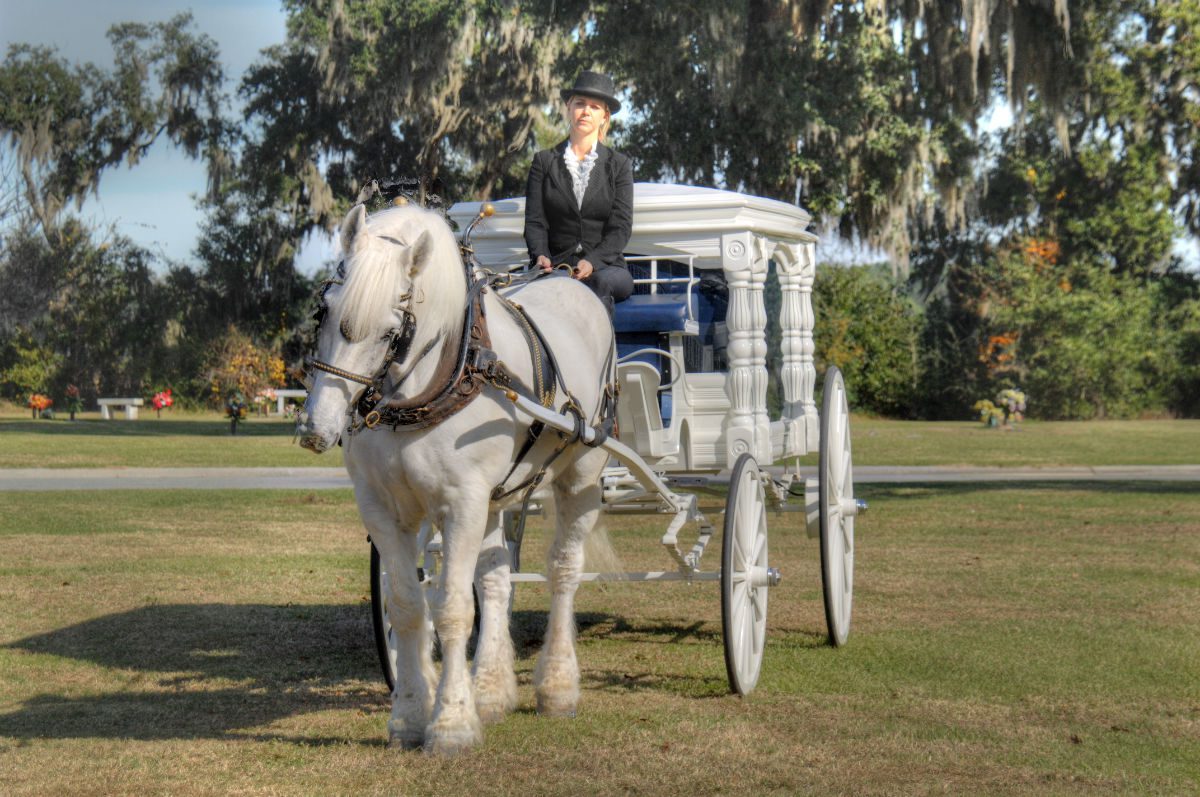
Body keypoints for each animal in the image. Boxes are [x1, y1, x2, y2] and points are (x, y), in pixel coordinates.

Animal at [296, 202, 614, 755]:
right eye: (324, 310)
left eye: (392, 332)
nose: (318, 427)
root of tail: (569, 279)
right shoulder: (383, 508)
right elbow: (408, 606)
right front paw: (408, 715)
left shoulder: (461, 503)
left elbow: (452, 609)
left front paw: (451, 724)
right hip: (496, 495)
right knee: (495, 578)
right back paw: (490, 690)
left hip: (581, 475)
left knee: (562, 571)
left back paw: (556, 687)